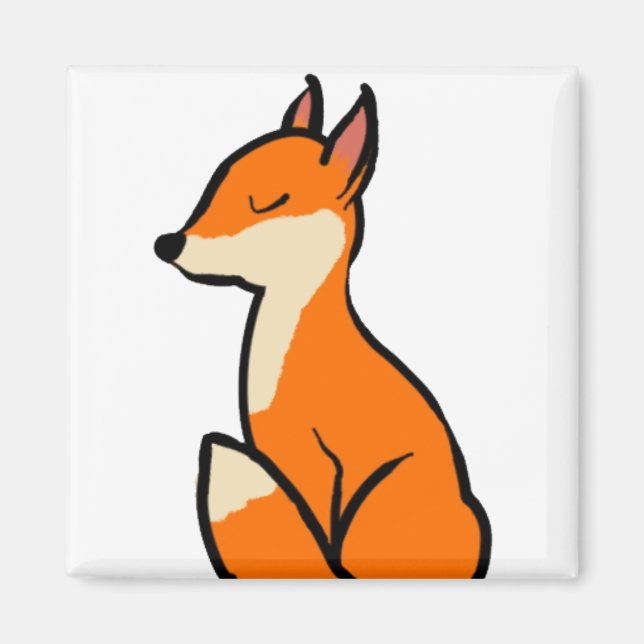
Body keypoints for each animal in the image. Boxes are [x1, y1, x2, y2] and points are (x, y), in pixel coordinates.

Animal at [154, 75, 491, 578]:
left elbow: (315, 533)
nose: (168, 243)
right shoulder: (274, 451)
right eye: (218, 184)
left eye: (268, 202)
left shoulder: (317, 463)